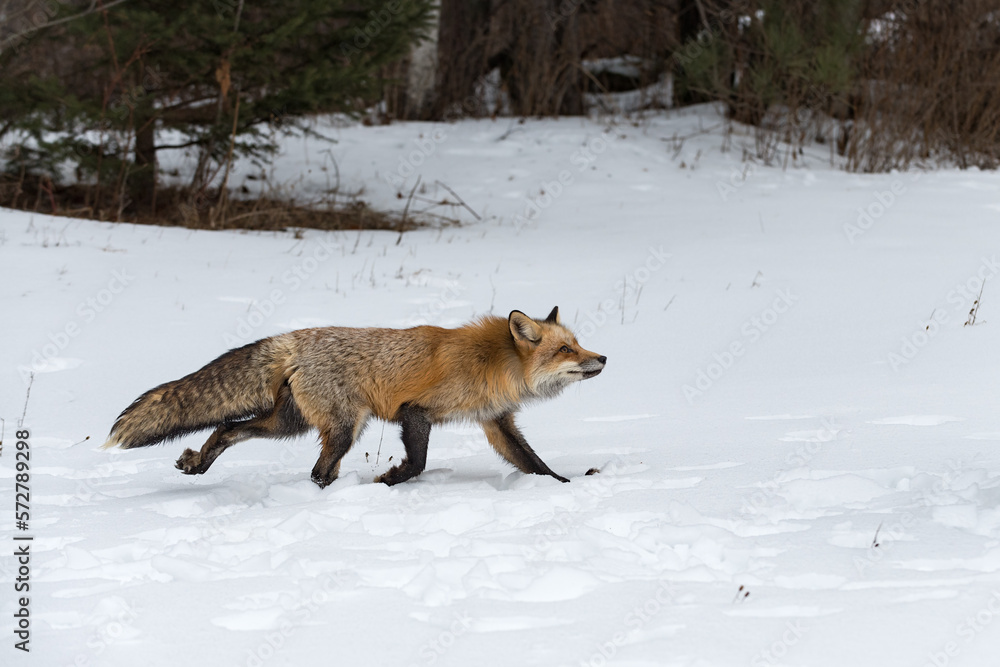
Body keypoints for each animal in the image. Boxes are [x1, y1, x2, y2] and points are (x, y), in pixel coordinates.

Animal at [103, 307, 607, 488]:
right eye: (566, 350)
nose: (603, 357)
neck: (493, 362)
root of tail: (294, 338)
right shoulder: (416, 410)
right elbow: (418, 462)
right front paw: (390, 481)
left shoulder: (496, 421)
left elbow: (534, 463)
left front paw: (563, 488)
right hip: (343, 427)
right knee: (318, 470)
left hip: (289, 425)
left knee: (227, 428)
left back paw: (197, 463)